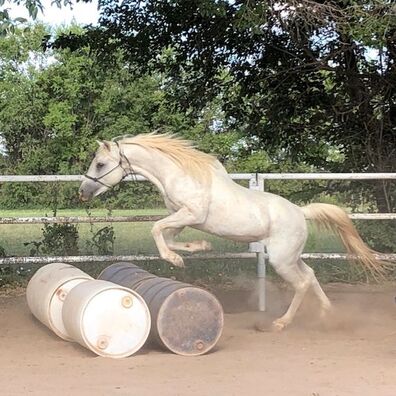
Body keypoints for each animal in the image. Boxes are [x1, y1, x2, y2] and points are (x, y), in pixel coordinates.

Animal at [79, 135, 384, 330]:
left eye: (100, 164)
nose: (82, 192)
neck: (182, 174)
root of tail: (301, 212)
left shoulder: (192, 214)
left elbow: (157, 229)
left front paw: (175, 260)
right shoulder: (182, 219)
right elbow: (170, 237)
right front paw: (199, 248)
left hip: (281, 259)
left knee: (301, 283)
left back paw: (282, 322)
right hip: (291, 256)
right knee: (310, 275)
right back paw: (327, 315)